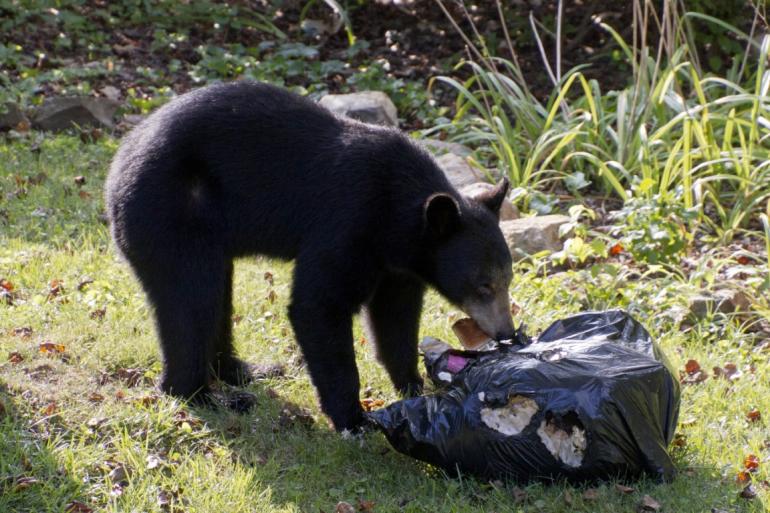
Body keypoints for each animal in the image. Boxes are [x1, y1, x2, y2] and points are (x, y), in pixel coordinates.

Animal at [105, 81, 512, 432]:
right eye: (484, 285)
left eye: (506, 279)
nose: (506, 333)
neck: (398, 215)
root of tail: (115, 175)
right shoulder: (348, 223)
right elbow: (319, 305)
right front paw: (354, 418)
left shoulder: (400, 263)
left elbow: (394, 317)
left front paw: (413, 388)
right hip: (172, 215)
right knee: (192, 301)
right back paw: (205, 395)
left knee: (217, 294)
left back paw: (244, 370)